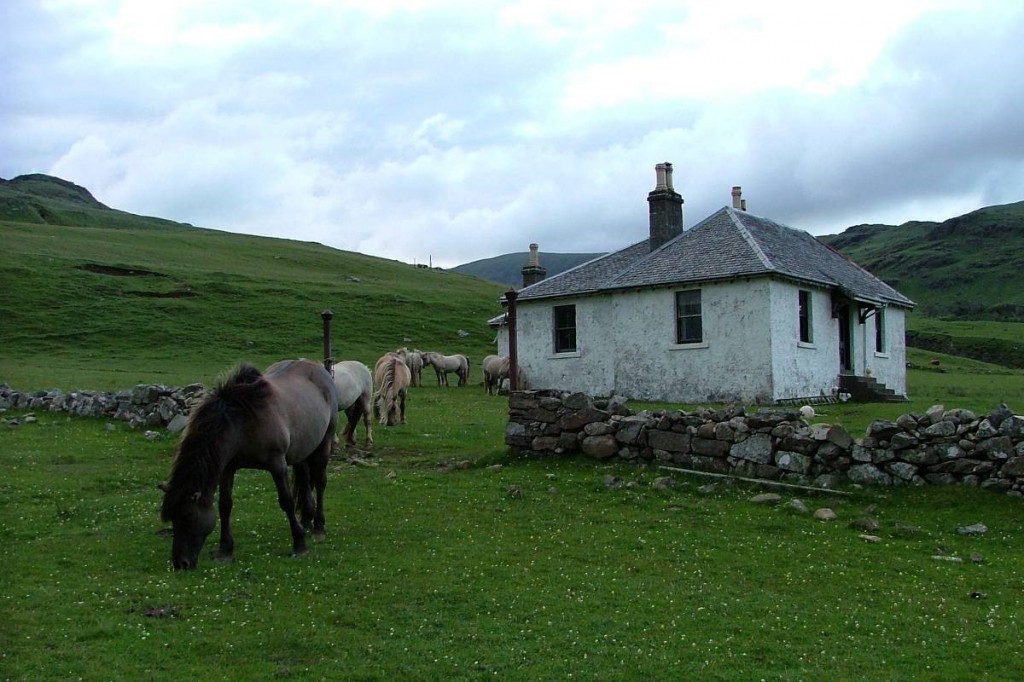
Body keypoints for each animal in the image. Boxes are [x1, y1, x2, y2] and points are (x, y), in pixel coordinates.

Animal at [159, 359, 338, 570]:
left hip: (324, 442)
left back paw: (318, 526)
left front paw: (299, 543)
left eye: (187, 518)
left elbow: (286, 502)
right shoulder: (228, 469)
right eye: (172, 520)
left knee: (319, 481)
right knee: (303, 479)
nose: (181, 563)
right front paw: (225, 550)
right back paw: (306, 520)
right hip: (301, 449)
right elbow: (225, 505)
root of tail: (317, 366)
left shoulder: (277, 465)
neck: (243, 423)